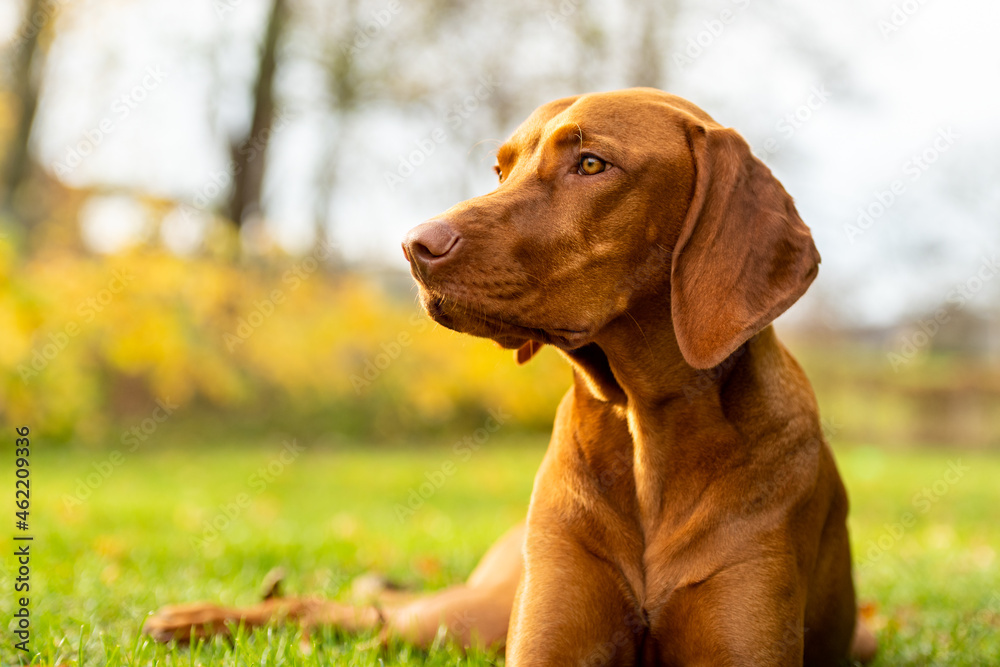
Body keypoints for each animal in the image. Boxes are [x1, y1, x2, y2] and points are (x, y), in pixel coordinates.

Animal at [146, 87, 876, 664]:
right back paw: (199, 619)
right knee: (352, 614)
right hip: (470, 614)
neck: (644, 421)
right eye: (501, 168)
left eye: (590, 163)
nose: (414, 246)